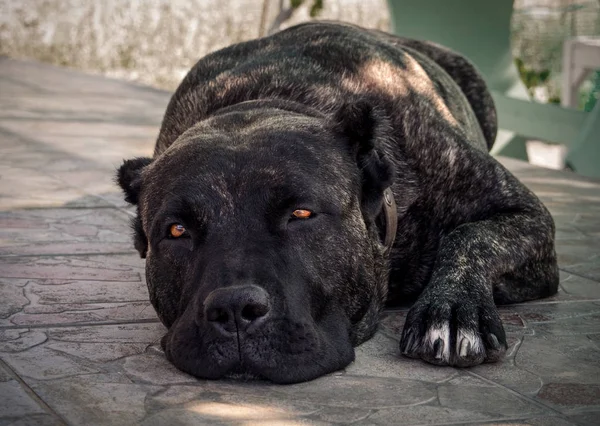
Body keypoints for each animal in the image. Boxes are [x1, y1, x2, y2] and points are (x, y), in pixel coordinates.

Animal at [116, 21, 556, 384]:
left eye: (301, 214)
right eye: (177, 231)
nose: (233, 307)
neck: (272, 98)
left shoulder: (527, 216)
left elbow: (469, 237)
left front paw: (451, 309)